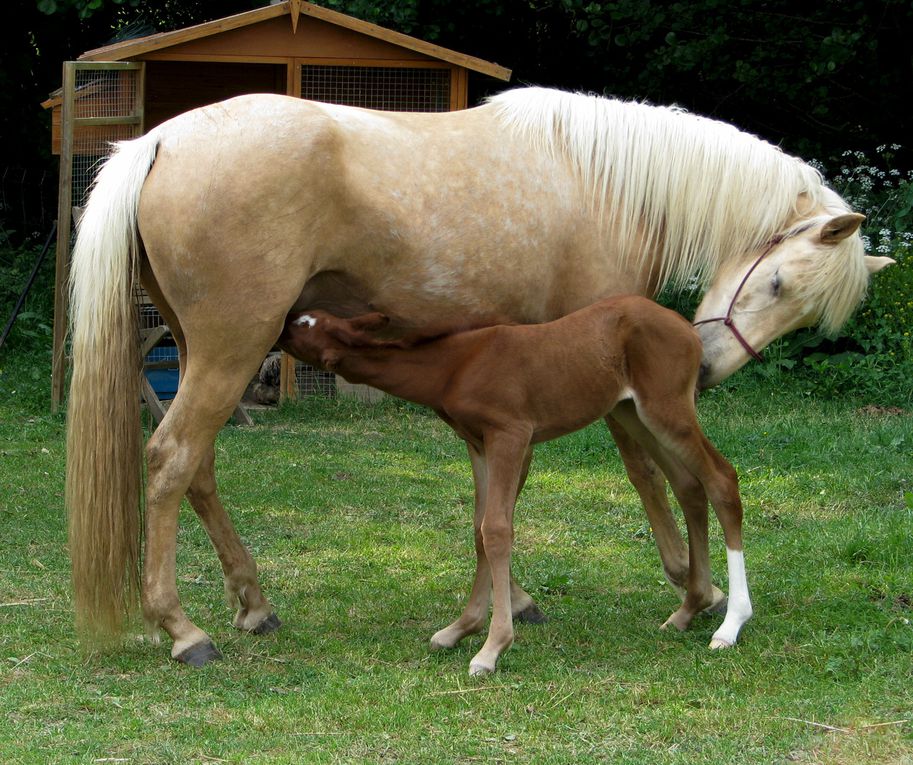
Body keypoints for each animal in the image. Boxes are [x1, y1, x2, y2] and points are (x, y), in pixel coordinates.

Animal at [278, 296, 748, 672]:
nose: (281, 319)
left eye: (304, 324)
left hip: (667, 409)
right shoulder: (478, 444)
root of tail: (686, 329)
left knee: (721, 479)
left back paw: (731, 624)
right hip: (635, 413)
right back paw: (689, 609)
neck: (454, 366)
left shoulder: (510, 434)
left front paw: (491, 647)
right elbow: (479, 529)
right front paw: (461, 628)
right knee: (689, 485)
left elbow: (498, 530)